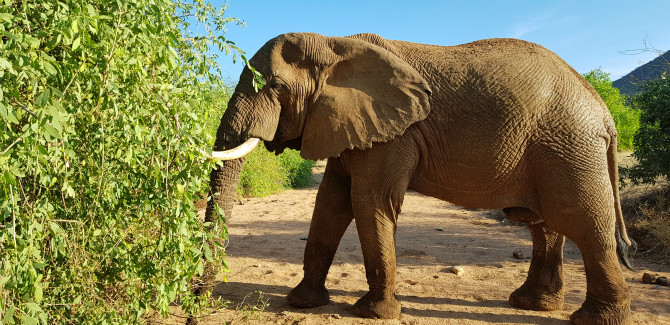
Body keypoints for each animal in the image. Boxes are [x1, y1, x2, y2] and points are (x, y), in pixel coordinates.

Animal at [203, 31, 636, 322]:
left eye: (275, 86)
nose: (202, 296)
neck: (335, 44)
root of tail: (605, 112)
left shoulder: (395, 134)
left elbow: (368, 201)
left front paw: (374, 313)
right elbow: (331, 202)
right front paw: (303, 302)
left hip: (568, 147)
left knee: (582, 223)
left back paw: (594, 319)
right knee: (544, 224)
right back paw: (532, 304)